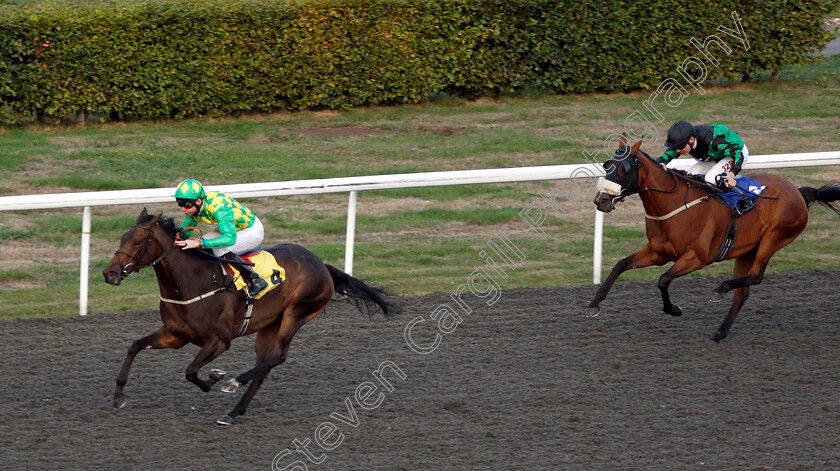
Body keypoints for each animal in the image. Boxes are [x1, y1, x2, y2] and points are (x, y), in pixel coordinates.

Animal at [101, 208, 398, 426]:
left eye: (138, 241)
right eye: (121, 239)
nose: (109, 273)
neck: (192, 282)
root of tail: (321, 264)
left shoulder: (220, 340)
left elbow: (191, 370)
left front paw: (215, 378)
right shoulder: (175, 335)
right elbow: (135, 346)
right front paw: (118, 397)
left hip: (297, 313)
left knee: (277, 357)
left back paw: (235, 383)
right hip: (270, 325)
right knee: (265, 365)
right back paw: (233, 412)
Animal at [592, 138, 840, 342]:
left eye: (623, 169)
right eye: (607, 165)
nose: (600, 200)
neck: (674, 205)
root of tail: (798, 192)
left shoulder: (697, 258)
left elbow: (663, 280)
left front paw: (674, 310)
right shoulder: (657, 252)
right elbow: (621, 264)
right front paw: (595, 303)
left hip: (774, 238)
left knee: (756, 276)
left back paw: (721, 289)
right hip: (748, 250)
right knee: (743, 292)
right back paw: (720, 332)